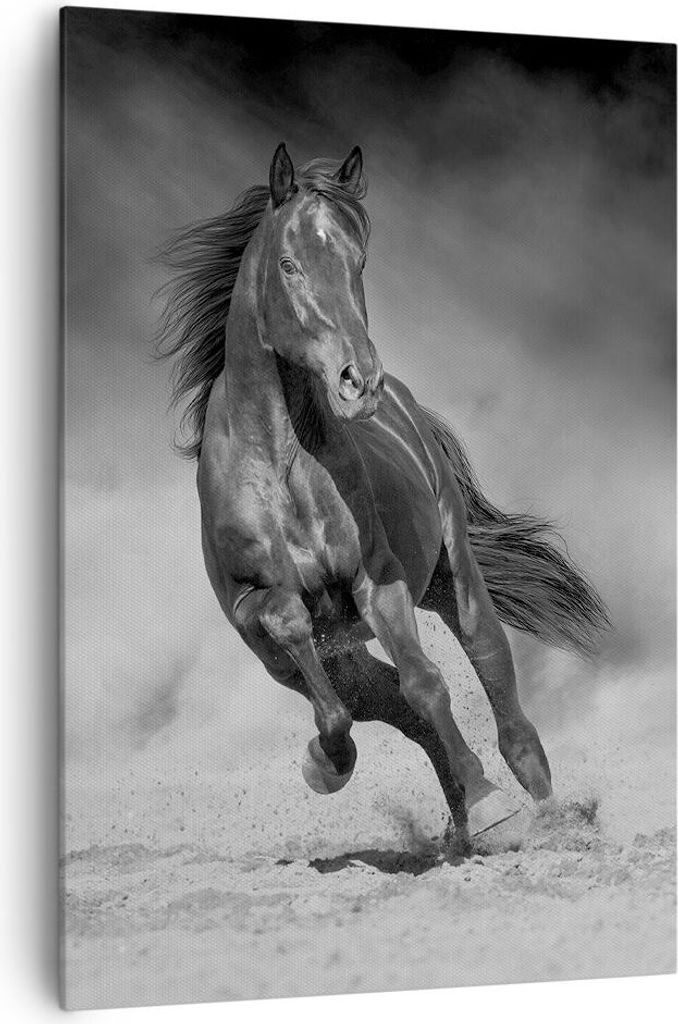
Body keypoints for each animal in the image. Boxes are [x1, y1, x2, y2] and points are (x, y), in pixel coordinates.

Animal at [158, 143, 608, 842]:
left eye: (358, 260)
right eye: (289, 264)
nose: (357, 380)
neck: (282, 466)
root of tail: (405, 401)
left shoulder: (378, 581)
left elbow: (427, 684)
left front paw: (491, 802)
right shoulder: (257, 615)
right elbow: (325, 671)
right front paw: (326, 764)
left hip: (454, 578)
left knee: (490, 671)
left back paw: (540, 809)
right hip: (321, 658)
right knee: (384, 703)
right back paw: (448, 814)